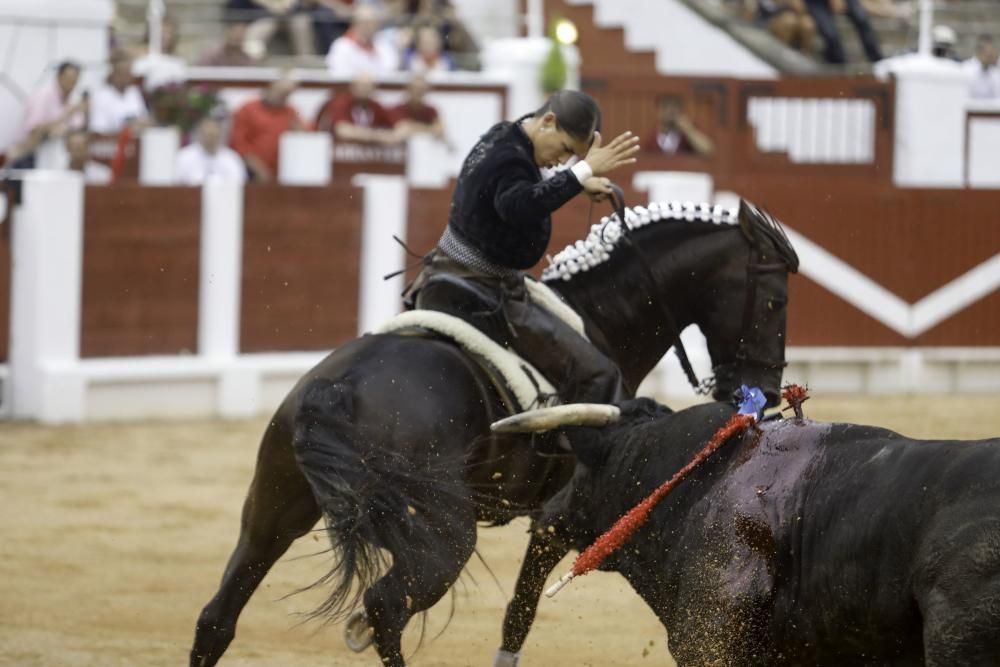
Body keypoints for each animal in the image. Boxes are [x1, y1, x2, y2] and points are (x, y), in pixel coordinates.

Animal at [188, 200, 796, 667]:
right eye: (775, 300)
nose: (764, 392)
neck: (597, 319)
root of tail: (338, 386)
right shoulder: (555, 519)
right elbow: (519, 612)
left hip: (273, 507)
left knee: (219, 614)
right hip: (445, 536)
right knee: (386, 607)